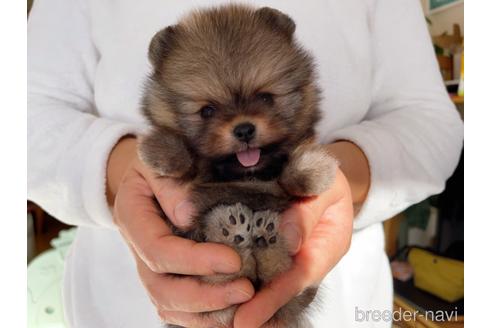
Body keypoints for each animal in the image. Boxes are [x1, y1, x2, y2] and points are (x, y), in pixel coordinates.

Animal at [137, 3, 338, 328]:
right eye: (207, 111)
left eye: (266, 97)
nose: (244, 129)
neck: (247, 177)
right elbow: (189, 164)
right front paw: (163, 150)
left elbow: (291, 177)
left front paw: (312, 170)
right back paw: (233, 233)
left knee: (273, 273)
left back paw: (264, 237)